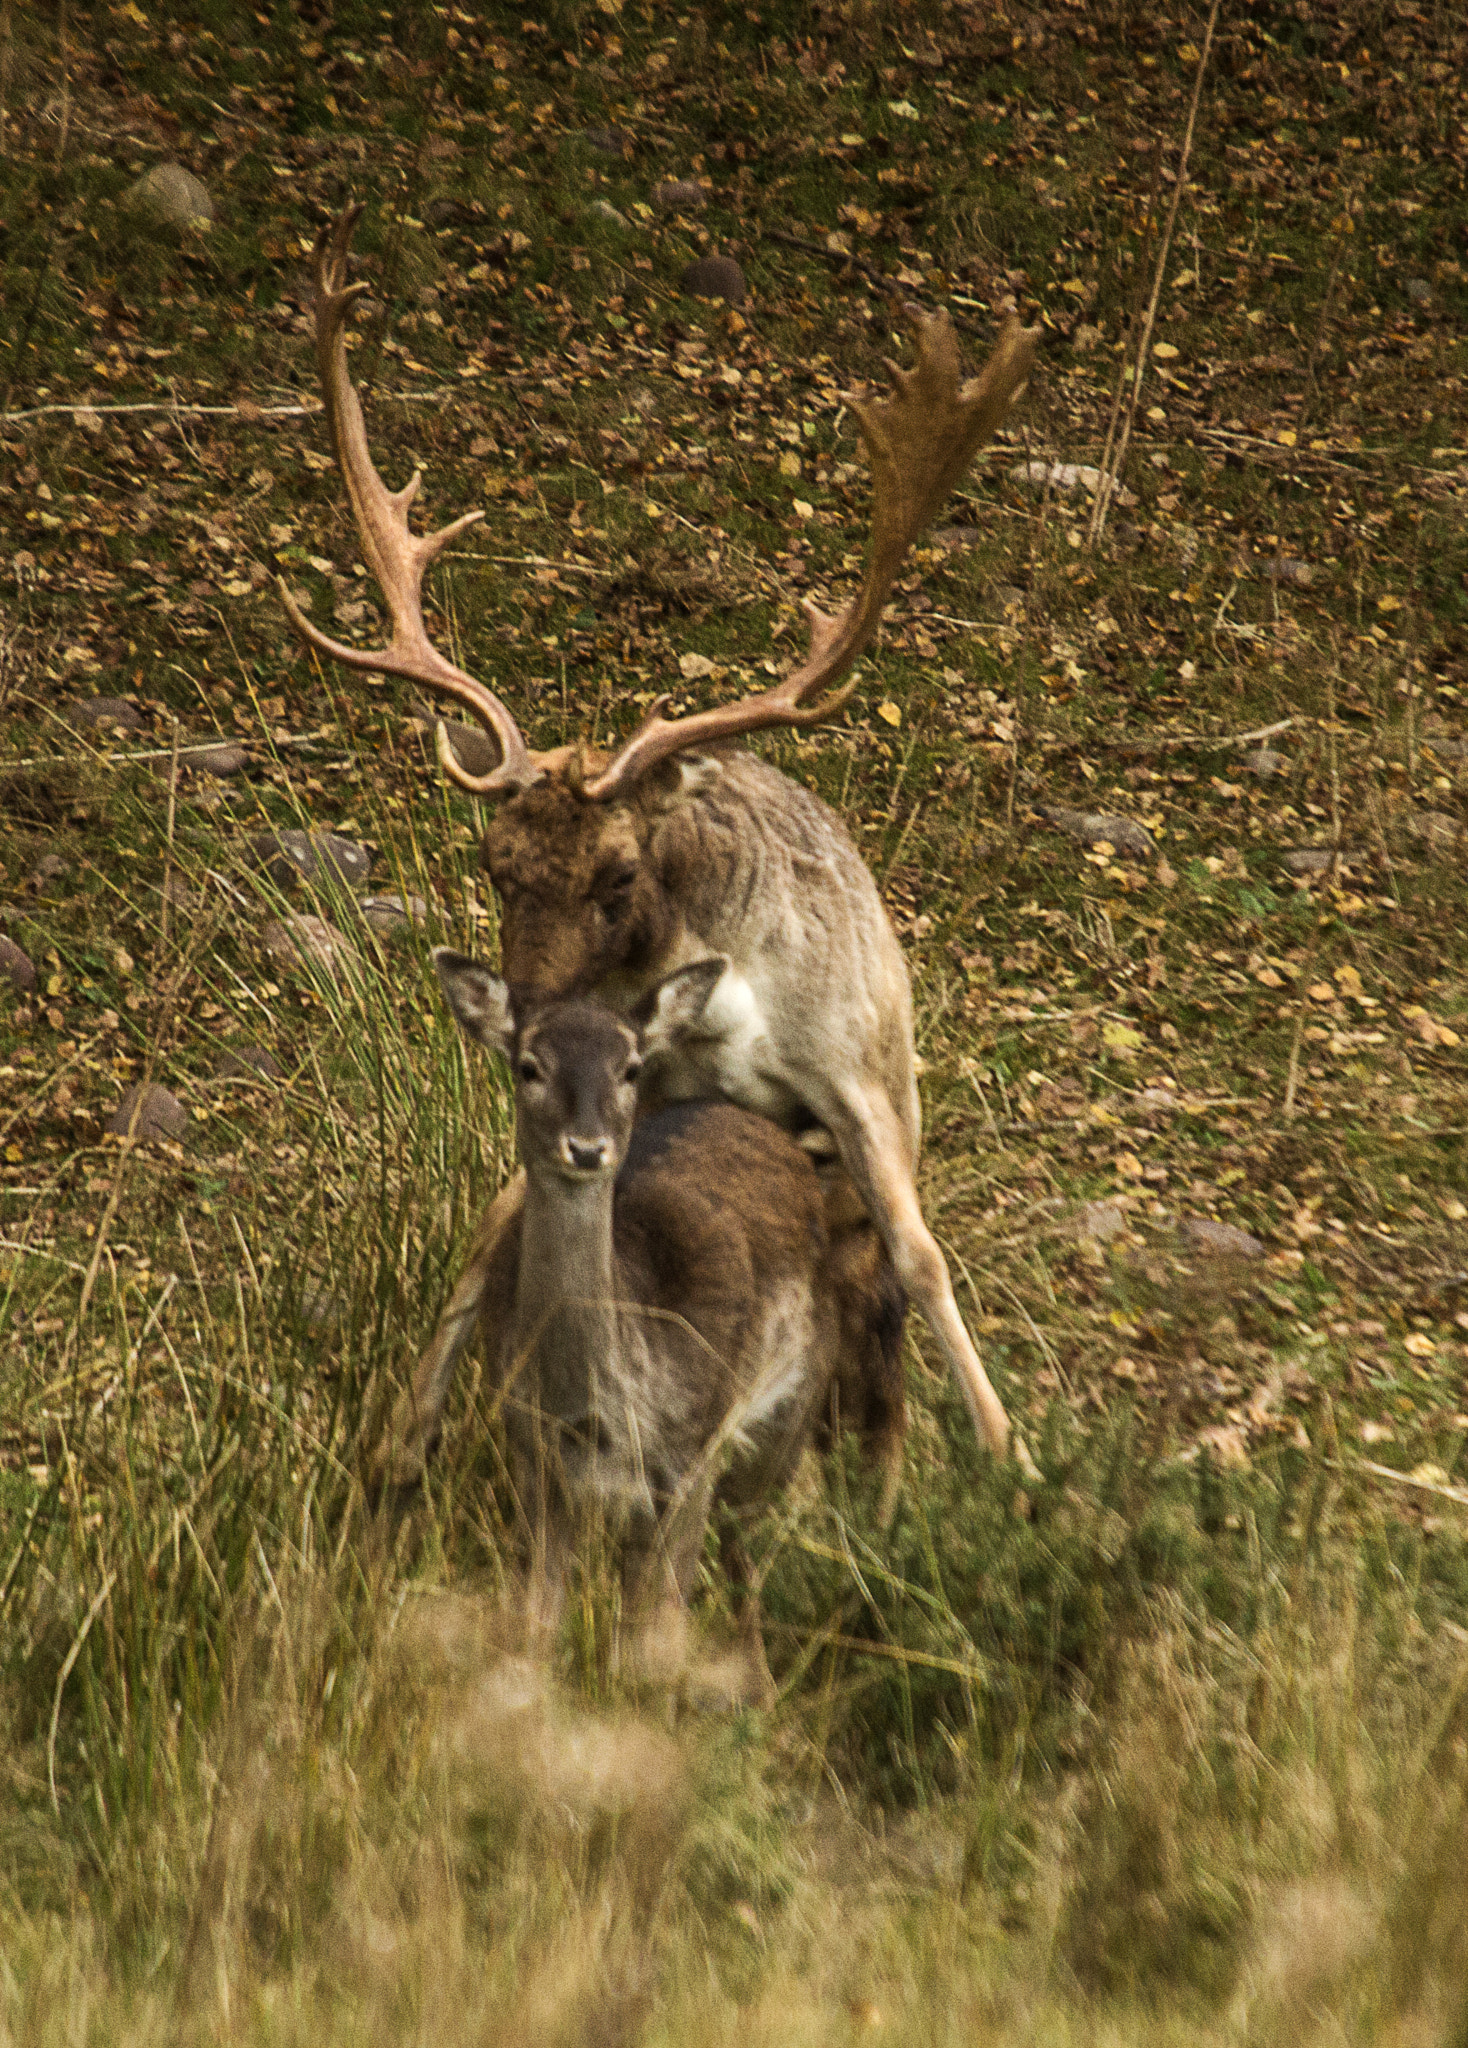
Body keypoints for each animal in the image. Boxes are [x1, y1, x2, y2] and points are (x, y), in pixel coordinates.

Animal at [281, 207, 1039, 1491]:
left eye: (620, 873)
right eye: (492, 860)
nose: (521, 1010)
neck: (732, 994)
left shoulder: (859, 1071)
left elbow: (924, 1254)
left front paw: (1007, 1452)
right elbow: (502, 1223)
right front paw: (401, 1436)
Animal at [432, 947, 907, 1696]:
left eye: (629, 1067)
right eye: (529, 1065)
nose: (587, 1148)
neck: (592, 1411)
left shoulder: (691, 1453)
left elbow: (658, 1640)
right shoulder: (531, 1456)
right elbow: (535, 1633)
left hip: (788, 1412)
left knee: (743, 1550)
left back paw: (760, 1686)